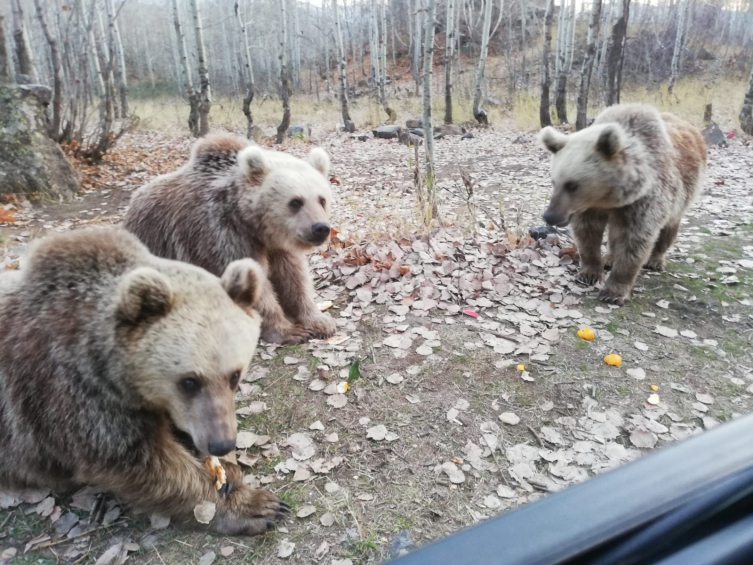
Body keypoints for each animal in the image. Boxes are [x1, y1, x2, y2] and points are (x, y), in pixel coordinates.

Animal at [0, 228, 288, 532]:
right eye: (189, 381)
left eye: (234, 375)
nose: (221, 443)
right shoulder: (72, 396)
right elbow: (148, 465)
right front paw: (254, 506)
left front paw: (227, 470)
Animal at [122, 134, 334, 344]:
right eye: (295, 202)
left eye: (321, 199)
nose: (320, 228)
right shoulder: (221, 236)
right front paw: (289, 331)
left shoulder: (277, 246)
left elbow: (293, 277)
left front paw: (319, 322)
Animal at [540, 101, 704, 304]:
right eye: (554, 181)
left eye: (572, 185)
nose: (550, 216)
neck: (610, 198)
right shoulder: (590, 209)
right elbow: (587, 234)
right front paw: (589, 273)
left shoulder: (644, 202)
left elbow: (633, 242)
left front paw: (613, 292)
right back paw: (609, 258)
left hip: (683, 193)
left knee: (669, 228)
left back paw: (655, 260)